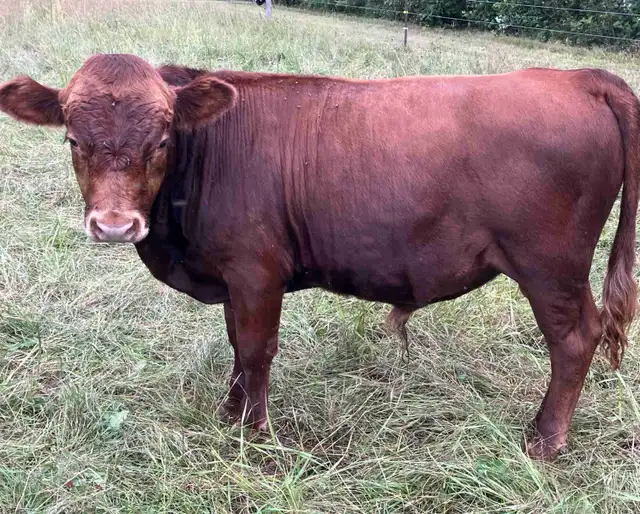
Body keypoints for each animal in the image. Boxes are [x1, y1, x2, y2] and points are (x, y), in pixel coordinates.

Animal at [0, 53, 638, 461]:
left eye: (161, 141)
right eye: (73, 140)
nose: (114, 225)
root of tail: (580, 77)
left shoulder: (257, 270)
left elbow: (257, 348)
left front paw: (254, 434)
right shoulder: (235, 277)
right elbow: (237, 344)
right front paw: (230, 413)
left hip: (550, 267)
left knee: (575, 338)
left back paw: (544, 441)